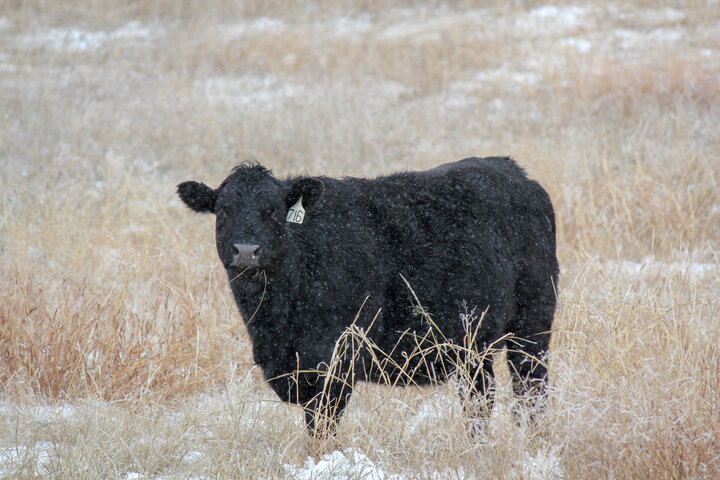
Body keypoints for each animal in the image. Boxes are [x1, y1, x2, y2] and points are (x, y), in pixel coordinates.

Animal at [177, 158, 560, 438]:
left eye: (272, 211)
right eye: (223, 211)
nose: (246, 250)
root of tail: (515, 172)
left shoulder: (334, 363)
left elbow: (322, 430)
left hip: (533, 325)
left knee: (529, 391)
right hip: (474, 343)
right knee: (480, 397)